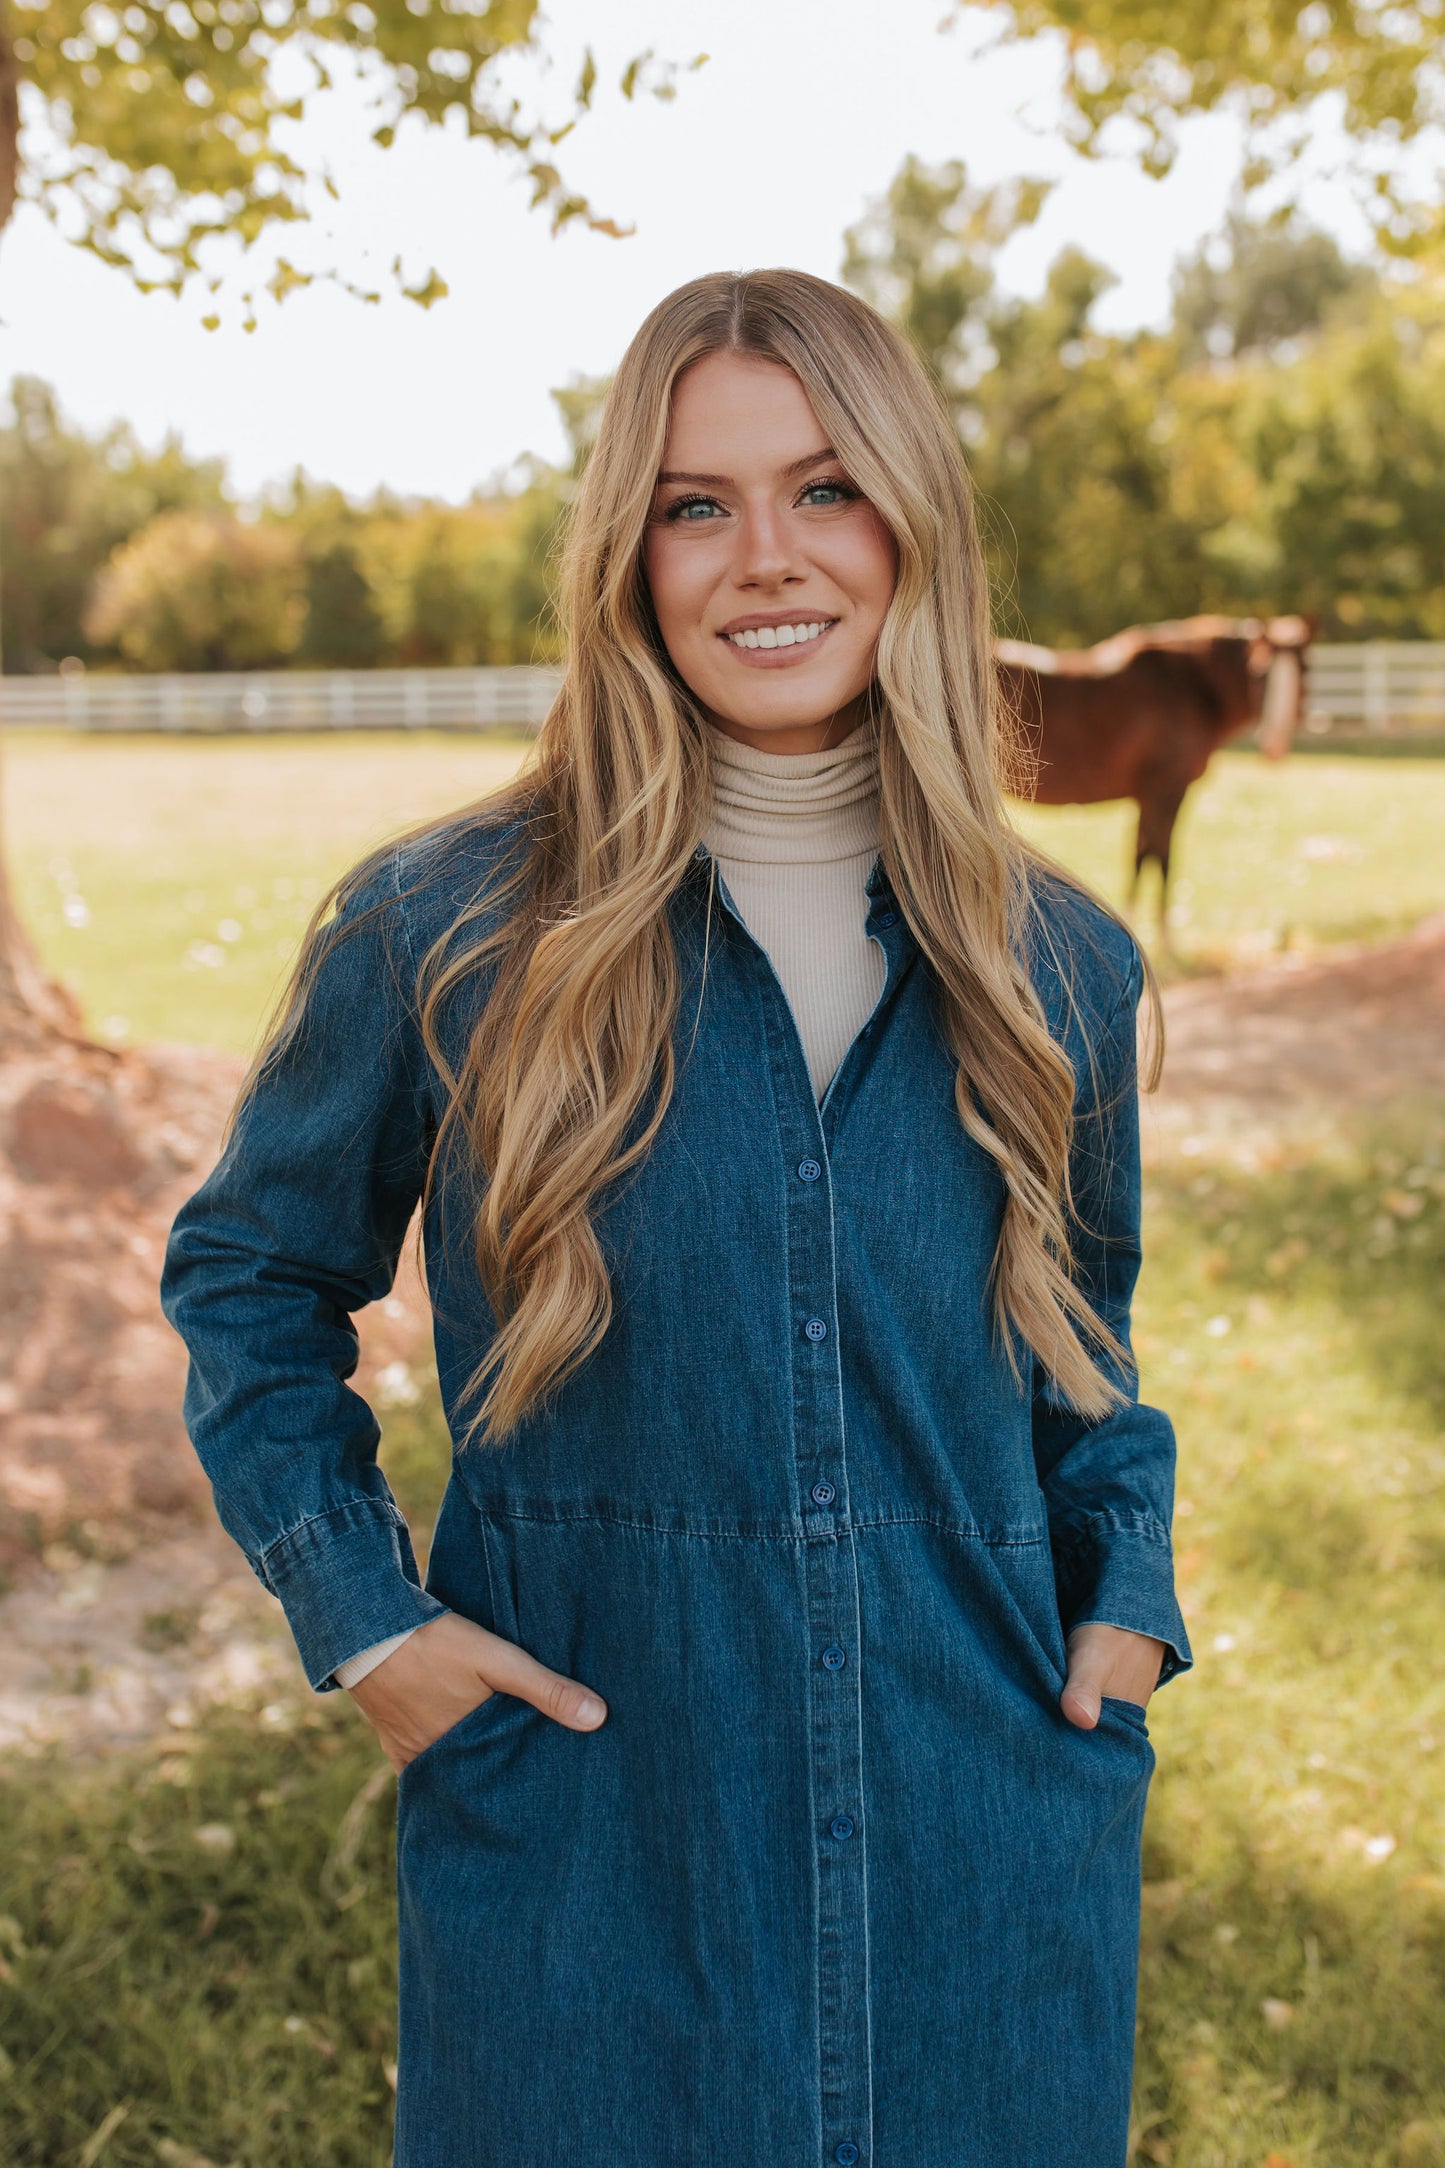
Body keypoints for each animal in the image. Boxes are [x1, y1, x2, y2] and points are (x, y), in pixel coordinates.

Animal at [1000, 615, 1317, 919]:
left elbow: (1142, 854)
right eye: (1259, 672)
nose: (1275, 742)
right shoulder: (1169, 788)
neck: (1189, 685)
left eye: (1304, 669)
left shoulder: (1148, 795)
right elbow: (1160, 858)